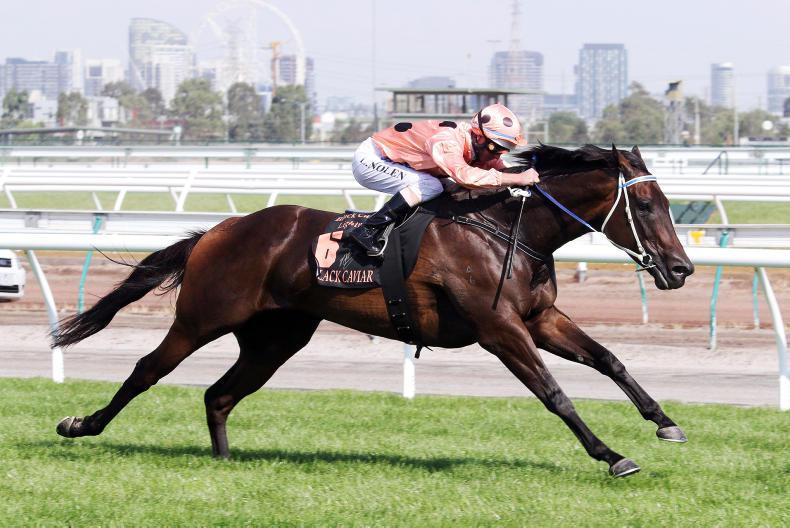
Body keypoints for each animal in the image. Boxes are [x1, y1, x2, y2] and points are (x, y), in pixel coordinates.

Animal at [54, 144, 694, 478]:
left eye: (667, 202)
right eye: (644, 204)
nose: (681, 269)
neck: (508, 231)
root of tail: (219, 229)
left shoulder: (539, 320)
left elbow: (609, 360)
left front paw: (664, 421)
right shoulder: (499, 329)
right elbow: (555, 393)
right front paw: (612, 456)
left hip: (276, 337)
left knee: (220, 394)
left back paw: (225, 461)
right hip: (203, 318)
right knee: (147, 370)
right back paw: (80, 424)